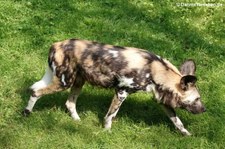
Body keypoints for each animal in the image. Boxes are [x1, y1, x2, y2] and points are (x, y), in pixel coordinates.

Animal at [22, 39, 206, 136]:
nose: (204, 110)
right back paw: (26, 113)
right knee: (35, 92)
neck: (155, 70)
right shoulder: (121, 92)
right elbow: (110, 116)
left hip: (78, 82)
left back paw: (77, 121)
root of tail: (56, 44)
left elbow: (178, 122)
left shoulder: (163, 102)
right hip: (64, 83)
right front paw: (107, 132)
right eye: (197, 99)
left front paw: (188, 136)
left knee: (69, 103)